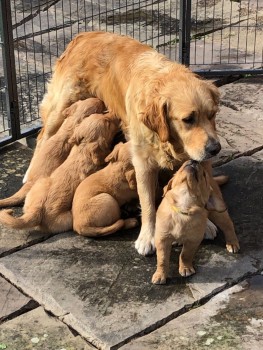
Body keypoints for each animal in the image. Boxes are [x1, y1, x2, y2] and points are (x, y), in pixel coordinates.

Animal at [24, 31, 239, 256]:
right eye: (188, 119)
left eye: (212, 114)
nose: (215, 149)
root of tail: (84, 34)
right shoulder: (143, 163)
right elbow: (148, 204)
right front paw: (147, 237)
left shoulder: (200, 160)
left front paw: (206, 224)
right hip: (62, 104)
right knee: (43, 136)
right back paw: (29, 175)